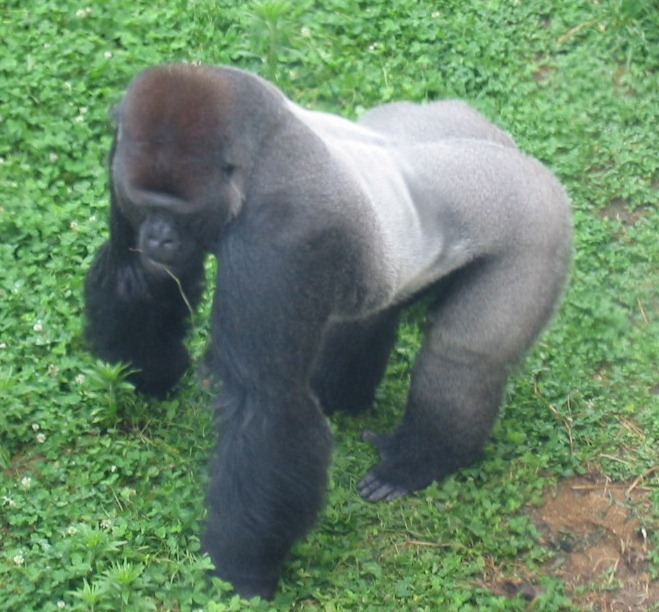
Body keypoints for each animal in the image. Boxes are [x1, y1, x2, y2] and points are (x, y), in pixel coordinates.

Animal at [84, 62, 572, 596]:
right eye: (145, 200)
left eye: (180, 211)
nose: (158, 237)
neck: (259, 149)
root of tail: (518, 155)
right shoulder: (121, 156)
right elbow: (139, 274)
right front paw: (150, 372)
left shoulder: (279, 235)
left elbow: (266, 402)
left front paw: (240, 569)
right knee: (366, 316)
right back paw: (344, 396)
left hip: (539, 222)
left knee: (463, 357)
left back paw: (421, 459)